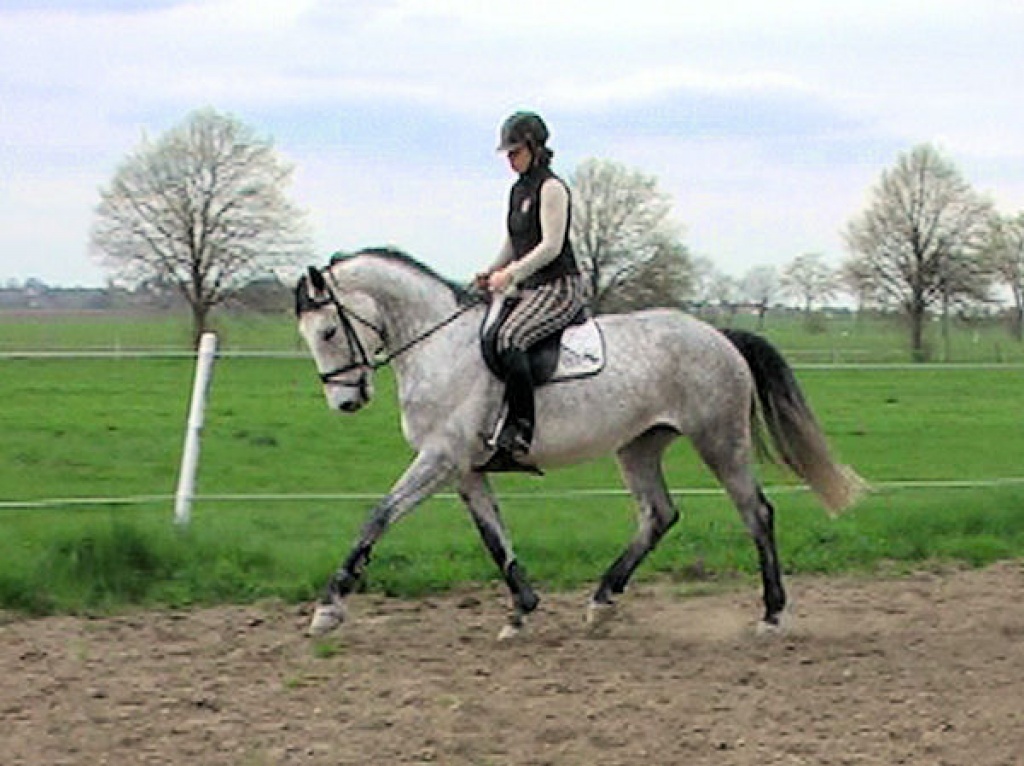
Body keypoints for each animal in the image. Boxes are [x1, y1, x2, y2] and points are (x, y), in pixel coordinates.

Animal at [294, 247, 864, 640]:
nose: (345, 401)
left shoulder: (439, 459)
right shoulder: (466, 469)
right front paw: (521, 609)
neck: (440, 347)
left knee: (756, 514)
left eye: (327, 332)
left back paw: (771, 613)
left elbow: (379, 515)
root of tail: (718, 335)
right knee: (658, 514)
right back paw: (602, 600)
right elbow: (495, 538)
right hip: (638, 446)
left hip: (719, 441)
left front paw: (329, 606)